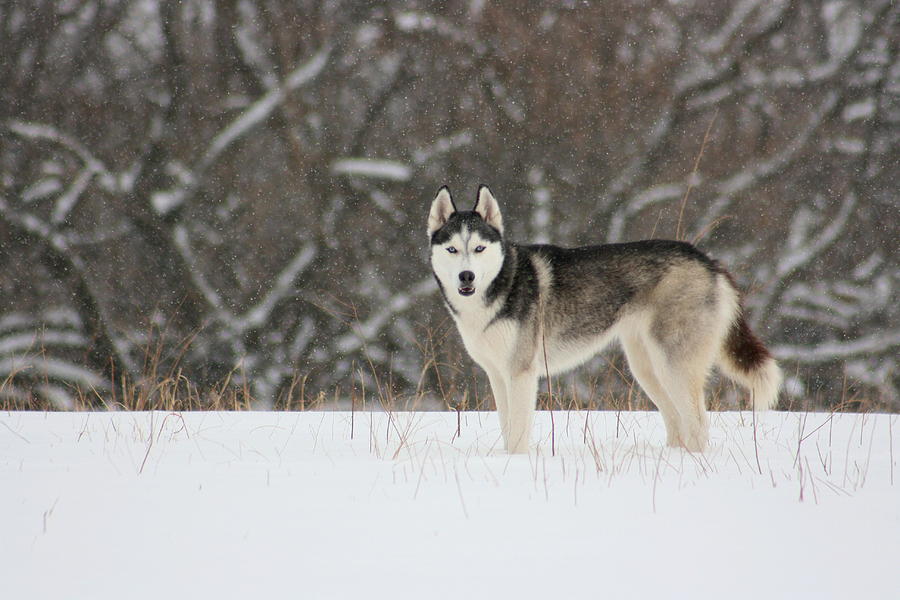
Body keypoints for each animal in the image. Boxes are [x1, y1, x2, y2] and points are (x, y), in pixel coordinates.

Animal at [428, 185, 780, 452]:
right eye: (452, 249)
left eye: (479, 248)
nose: (467, 276)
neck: (501, 284)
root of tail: (708, 260)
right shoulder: (498, 375)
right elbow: (506, 426)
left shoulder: (521, 374)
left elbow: (517, 434)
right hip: (647, 369)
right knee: (677, 421)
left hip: (674, 366)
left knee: (697, 424)